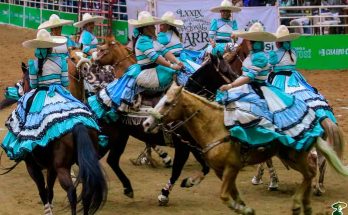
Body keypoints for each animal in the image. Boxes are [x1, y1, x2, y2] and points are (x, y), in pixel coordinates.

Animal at [143, 81, 348, 214]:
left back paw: (300, 202)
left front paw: (244, 208)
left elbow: (225, 197)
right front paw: (246, 207)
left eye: (167, 103)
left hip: (295, 156)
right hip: (289, 157)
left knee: (311, 172)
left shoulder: (231, 168)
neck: (216, 127)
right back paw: (305, 204)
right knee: (310, 173)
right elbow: (234, 195)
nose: (146, 123)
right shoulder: (221, 172)